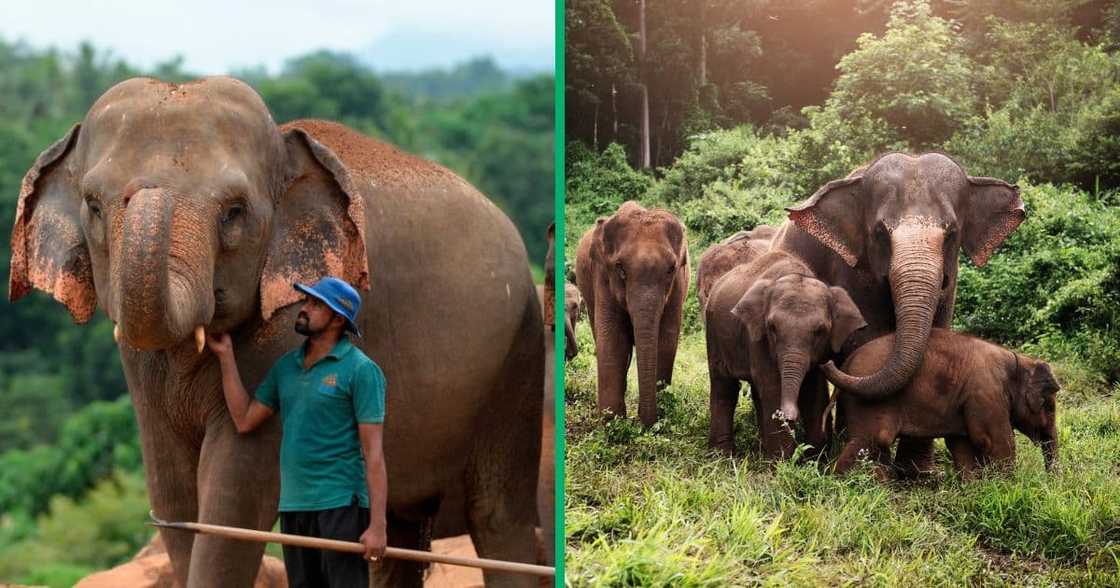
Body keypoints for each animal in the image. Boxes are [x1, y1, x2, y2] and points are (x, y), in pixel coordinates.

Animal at [9, 77, 543, 587]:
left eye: (234, 211)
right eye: (94, 207)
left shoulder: (287, 326)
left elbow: (232, 499)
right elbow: (174, 496)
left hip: (515, 364)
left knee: (499, 520)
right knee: (396, 537)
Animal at [575, 201, 689, 426]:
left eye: (671, 269)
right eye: (620, 268)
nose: (645, 424)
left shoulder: (677, 285)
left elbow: (666, 340)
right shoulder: (603, 276)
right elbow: (613, 340)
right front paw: (613, 421)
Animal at [704, 250, 865, 458]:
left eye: (820, 331)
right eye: (772, 327)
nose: (789, 416)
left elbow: (814, 388)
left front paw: (816, 457)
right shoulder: (757, 338)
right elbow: (773, 386)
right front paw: (782, 460)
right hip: (714, 332)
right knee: (724, 386)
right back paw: (722, 456)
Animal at [771, 152, 1024, 476]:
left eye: (952, 232)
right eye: (880, 232)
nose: (827, 361)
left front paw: (919, 475)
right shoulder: (853, 271)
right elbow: (864, 342)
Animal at [831, 329, 1059, 479]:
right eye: (1049, 407)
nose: (1051, 484)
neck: (1017, 360)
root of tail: (847, 362)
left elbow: (962, 444)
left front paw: (975, 489)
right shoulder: (986, 393)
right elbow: (998, 443)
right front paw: (1007, 487)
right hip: (868, 403)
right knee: (871, 440)